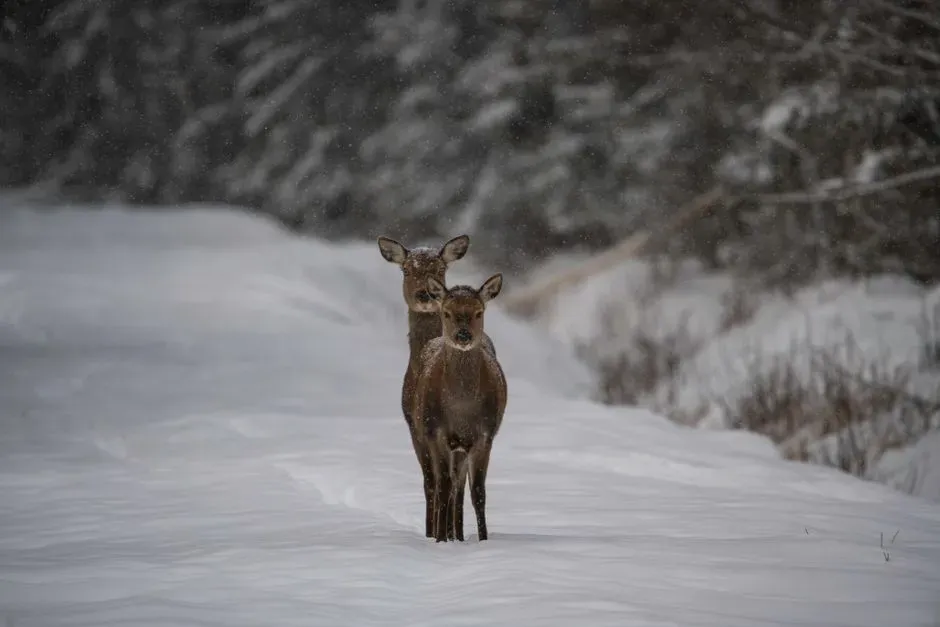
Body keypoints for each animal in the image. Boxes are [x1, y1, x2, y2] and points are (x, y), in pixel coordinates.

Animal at [376, 235, 496, 539]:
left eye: (441, 269)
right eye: (406, 270)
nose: (424, 295)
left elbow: (446, 484)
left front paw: (444, 532)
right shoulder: (415, 426)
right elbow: (432, 482)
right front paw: (435, 532)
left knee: (456, 485)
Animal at [413, 273, 507, 542]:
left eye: (478, 312)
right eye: (446, 312)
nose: (463, 336)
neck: (462, 411)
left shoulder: (485, 435)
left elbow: (478, 492)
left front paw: (483, 539)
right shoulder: (435, 432)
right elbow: (443, 485)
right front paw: (440, 540)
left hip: (462, 447)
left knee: (459, 487)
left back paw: (458, 534)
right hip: (422, 435)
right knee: (437, 484)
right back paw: (441, 532)